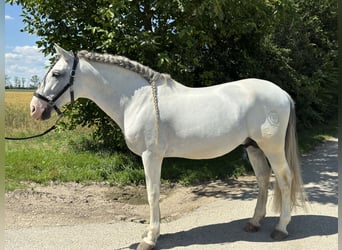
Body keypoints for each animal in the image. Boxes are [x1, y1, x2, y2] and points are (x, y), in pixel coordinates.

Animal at [30, 45, 306, 250]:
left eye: (56, 74)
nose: (35, 108)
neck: (137, 100)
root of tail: (283, 94)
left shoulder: (151, 156)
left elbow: (152, 193)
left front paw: (150, 238)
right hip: (253, 147)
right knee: (263, 179)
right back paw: (254, 222)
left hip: (271, 148)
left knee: (284, 178)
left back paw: (281, 228)